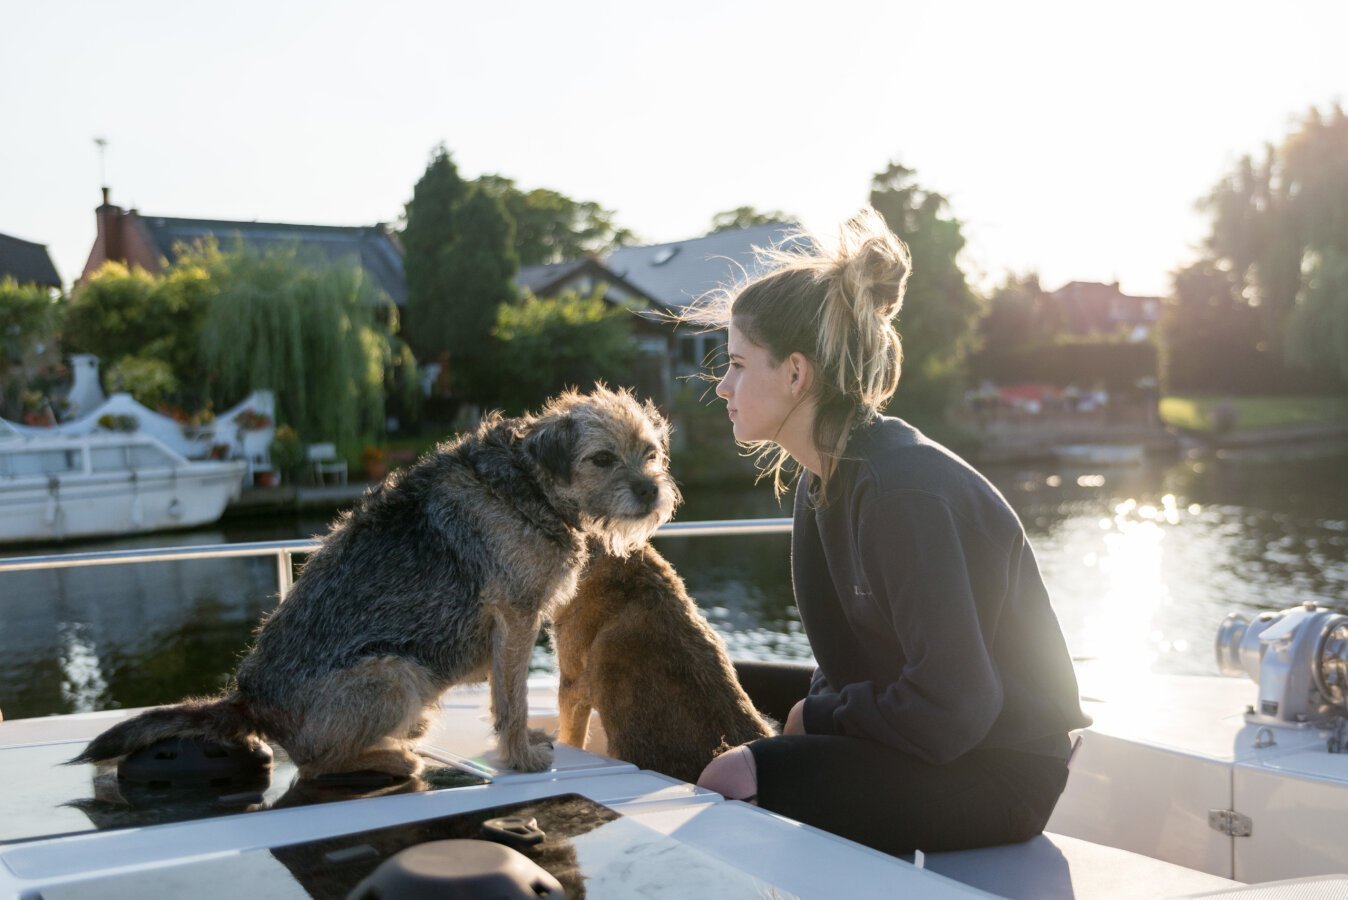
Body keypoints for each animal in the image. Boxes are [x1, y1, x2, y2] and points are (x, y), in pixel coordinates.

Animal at [72, 390, 679, 776]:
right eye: (602, 458)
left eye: (650, 453)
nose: (651, 491)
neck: (529, 482)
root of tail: (250, 703)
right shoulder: (516, 618)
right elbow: (511, 698)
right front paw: (520, 757)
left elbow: (507, 697)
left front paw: (523, 743)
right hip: (396, 673)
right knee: (316, 763)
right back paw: (391, 756)